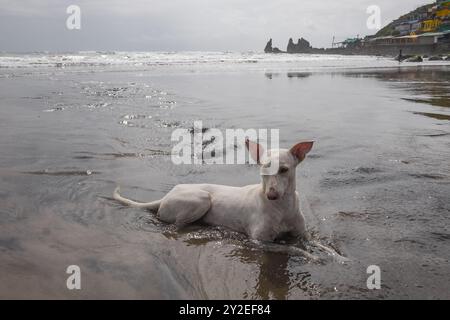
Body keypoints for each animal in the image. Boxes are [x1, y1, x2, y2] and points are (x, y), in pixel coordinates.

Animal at [114, 140, 312, 242]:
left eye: (284, 170)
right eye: (263, 169)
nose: (271, 196)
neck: (282, 208)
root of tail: (165, 197)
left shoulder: (301, 235)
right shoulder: (260, 242)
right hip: (202, 199)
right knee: (178, 225)